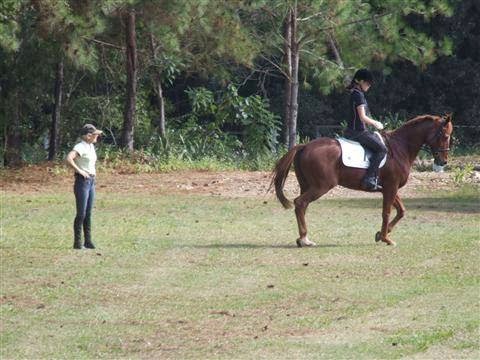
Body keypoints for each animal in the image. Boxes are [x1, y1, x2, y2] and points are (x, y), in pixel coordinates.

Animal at [272, 114, 452, 246]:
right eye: (444, 135)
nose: (443, 162)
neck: (400, 148)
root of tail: (304, 146)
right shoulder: (391, 187)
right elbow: (386, 212)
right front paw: (386, 238)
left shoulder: (388, 188)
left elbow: (401, 211)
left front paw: (380, 235)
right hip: (321, 186)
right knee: (300, 203)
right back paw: (304, 240)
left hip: (307, 185)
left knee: (302, 206)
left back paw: (303, 238)